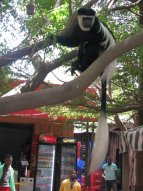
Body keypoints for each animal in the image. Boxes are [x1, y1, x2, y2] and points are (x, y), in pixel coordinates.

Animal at [54, 7, 116, 173]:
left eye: (90, 19)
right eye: (85, 18)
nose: (88, 23)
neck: (87, 28)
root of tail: (106, 71)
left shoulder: (96, 27)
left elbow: (92, 40)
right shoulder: (78, 27)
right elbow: (74, 41)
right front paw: (53, 37)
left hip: (100, 56)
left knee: (92, 46)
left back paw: (82, 65)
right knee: (82, 45)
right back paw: (78, 65)